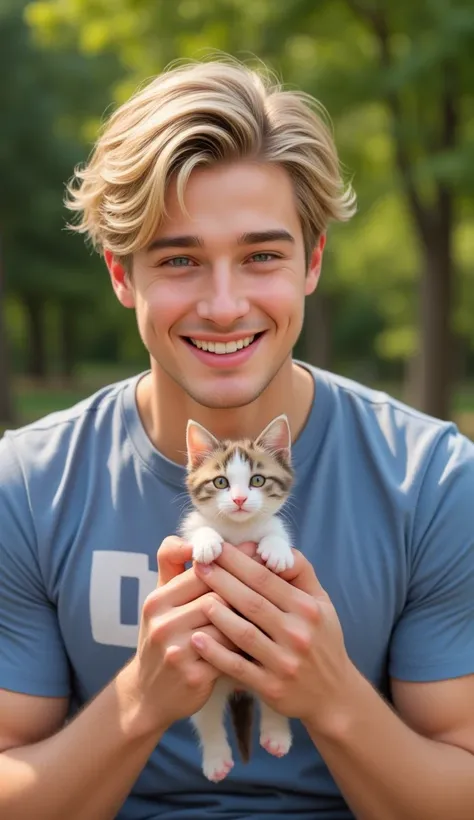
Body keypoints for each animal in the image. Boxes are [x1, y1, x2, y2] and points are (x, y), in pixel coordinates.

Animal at [180, 416, 294, 780]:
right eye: (221, 482)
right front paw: (206, 542)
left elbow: (276, 529)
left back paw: (276, 735)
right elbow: (199, 528)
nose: (241, 500)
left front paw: (277, 550)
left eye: (257, 480)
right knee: (206, 716)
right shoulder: (191, 526)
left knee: (277, 697)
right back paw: (216, 758)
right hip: (205, 682)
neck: (238, 530)